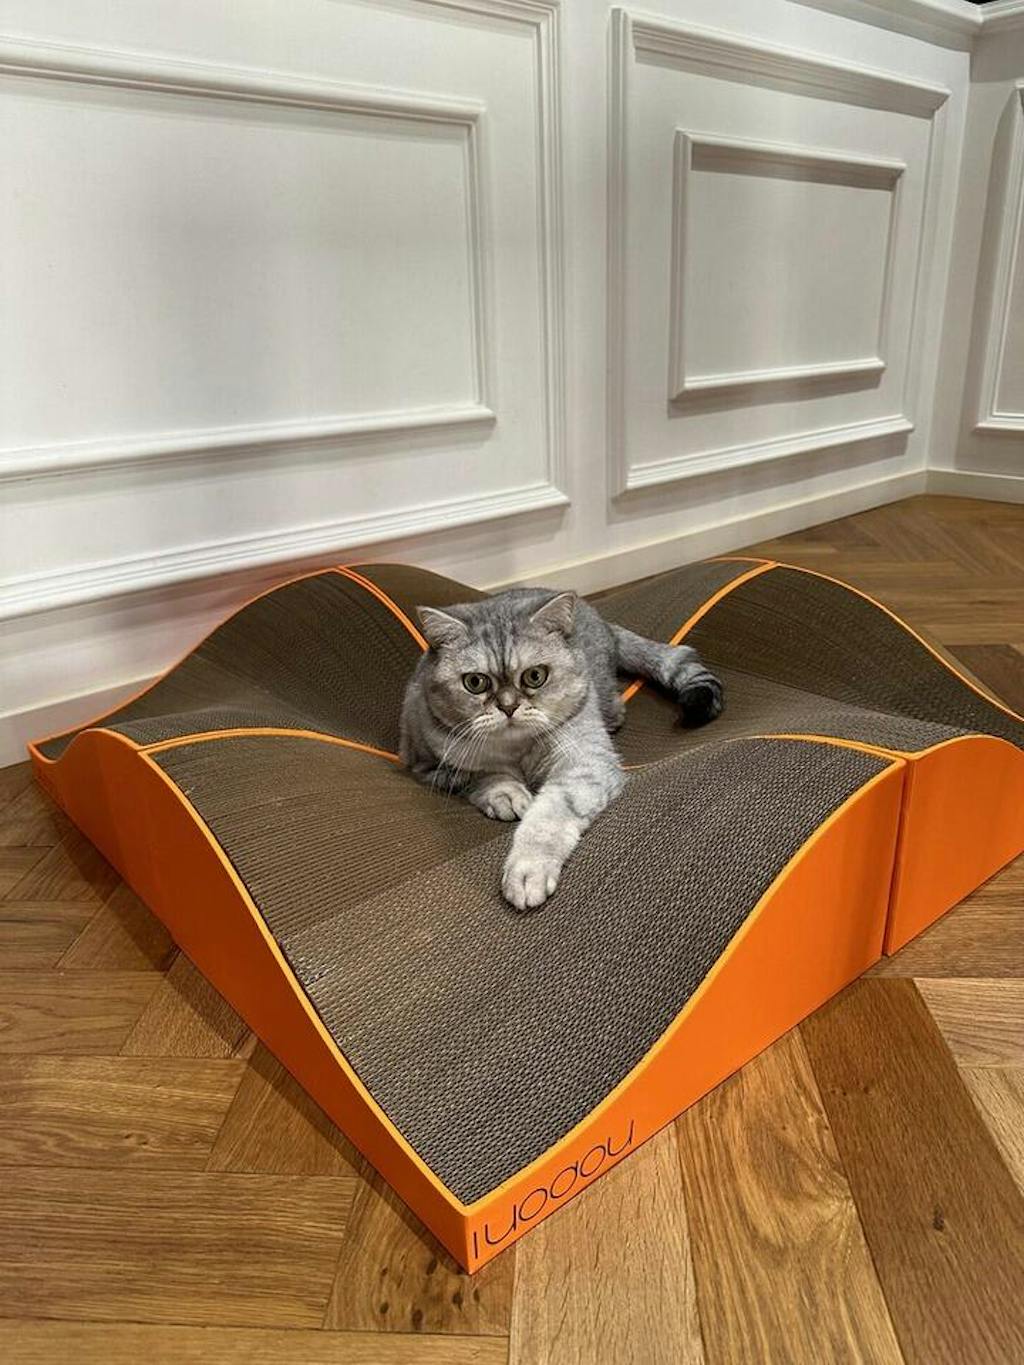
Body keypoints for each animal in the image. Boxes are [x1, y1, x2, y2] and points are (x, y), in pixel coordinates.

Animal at [399, 588, 723, 910]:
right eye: (475, 682)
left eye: (535, 676)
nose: (508, 707)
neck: (516, 749)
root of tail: (601, 619)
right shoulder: (428, 764)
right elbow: (482, 776)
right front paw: (505, 794)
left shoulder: (586, 763)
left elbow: (548, 816)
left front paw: (528, 868)